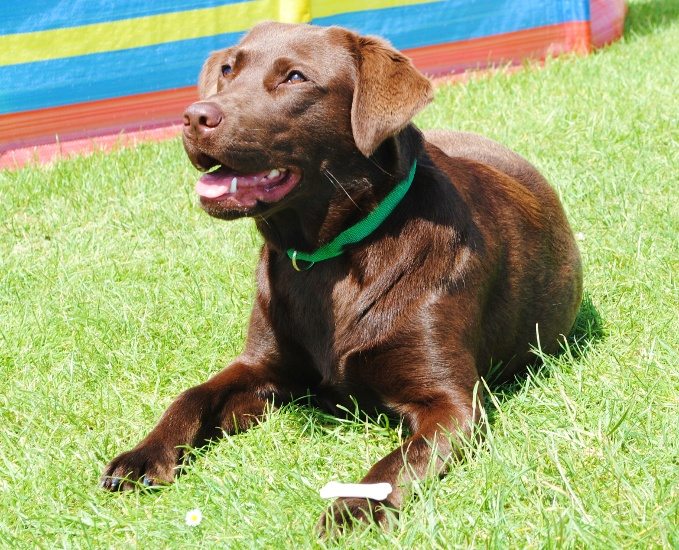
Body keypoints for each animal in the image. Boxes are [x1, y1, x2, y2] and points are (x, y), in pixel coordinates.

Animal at [102, 21, 584, 536]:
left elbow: (398, 461)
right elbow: (191, 396)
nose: (193, 117)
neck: (330, 259)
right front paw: (142, 455)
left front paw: (351, 507)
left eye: (295, 77)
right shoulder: (261, 367)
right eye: (228, 69)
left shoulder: (453, 405)